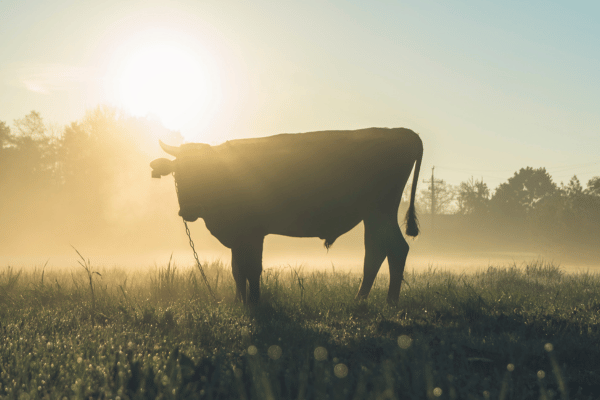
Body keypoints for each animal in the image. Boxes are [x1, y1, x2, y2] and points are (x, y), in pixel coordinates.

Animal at [149, 126, 422, 304]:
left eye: (205, 171)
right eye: (178, 172)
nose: (189, 209)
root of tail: (403, 132)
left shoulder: (252, 233)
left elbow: (252, 268)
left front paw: (254, 302)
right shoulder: (238, 236)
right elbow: (237, 269)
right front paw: (240, 301)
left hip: (380, 211)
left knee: (391, 249)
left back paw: (384, 302)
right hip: (374, 215)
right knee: (380, 250)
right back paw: (367, 300)